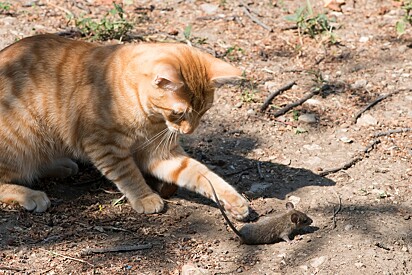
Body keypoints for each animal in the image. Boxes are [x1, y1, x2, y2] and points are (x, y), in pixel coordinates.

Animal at [0, 34, 248, 220]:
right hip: (23, 140)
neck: (150, 117)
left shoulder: (160, 152)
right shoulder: (105, 146)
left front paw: (233, 200)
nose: (189, 131)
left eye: (203, 111)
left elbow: (201, 173)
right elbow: (129, 173)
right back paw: (31, 196)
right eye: (179, 113)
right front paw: (145, 197)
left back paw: (60, 165)